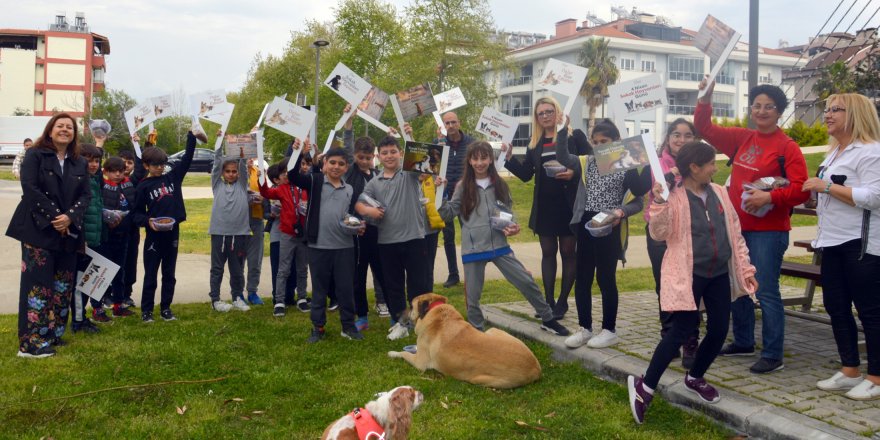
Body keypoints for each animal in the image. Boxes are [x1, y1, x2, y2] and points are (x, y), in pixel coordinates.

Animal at [388, 294, 540, 386]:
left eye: (411, 306)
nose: (396, 314)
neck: (436, 313)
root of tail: (536, 369)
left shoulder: (420, 363)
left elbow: (404, 353)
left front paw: (393, 353)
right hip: (492, 331)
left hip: (479, 379)